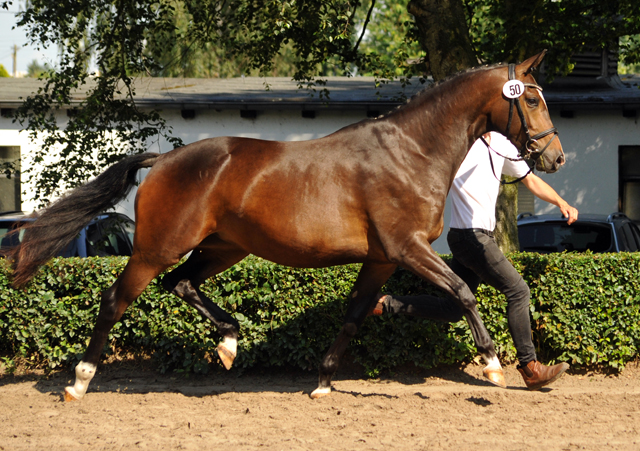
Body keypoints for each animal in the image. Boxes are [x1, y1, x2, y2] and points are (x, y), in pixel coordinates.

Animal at [7, 51, 564, 400]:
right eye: (532, 98)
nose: (554, 156)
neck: (410, 152)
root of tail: (164, 159)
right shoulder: (407, 249)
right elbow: (462, 292)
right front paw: (493, 366)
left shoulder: (382, 260)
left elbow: (354, 316)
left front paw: (321, 382)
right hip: (155, 249)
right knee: (115, 300)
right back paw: (79, 381)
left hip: (222, 248)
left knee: (181, 284)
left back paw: (229, 342)